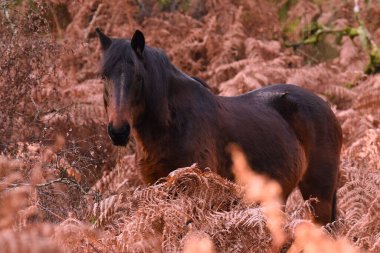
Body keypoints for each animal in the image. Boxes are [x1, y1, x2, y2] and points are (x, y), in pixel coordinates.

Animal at [94, 28, 342, 225]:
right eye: (103, 76)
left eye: (138, 77)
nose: (118, 131)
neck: (173, 125)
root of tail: (325, 106)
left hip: (318, 195)